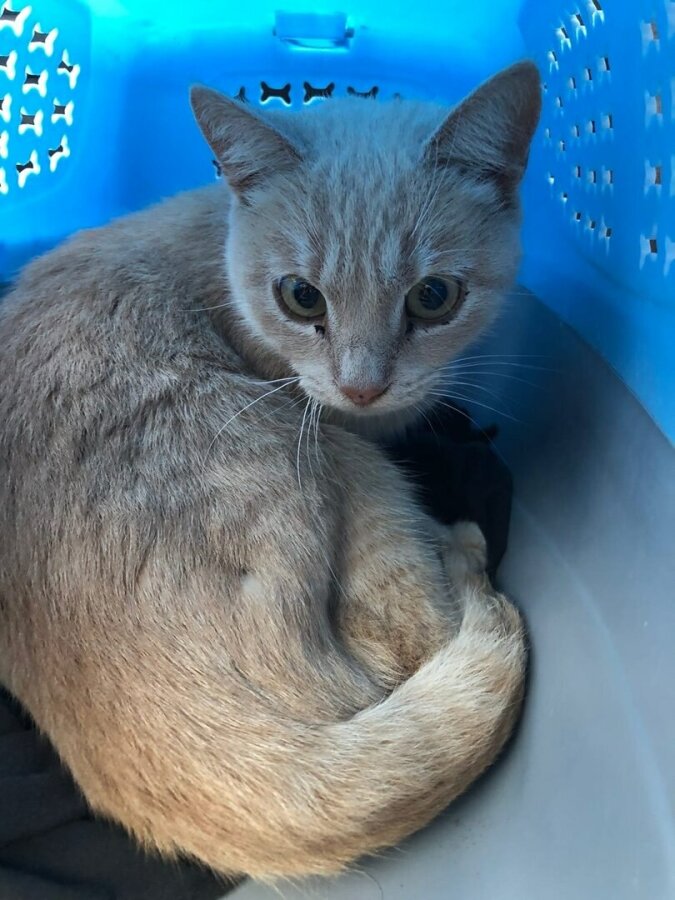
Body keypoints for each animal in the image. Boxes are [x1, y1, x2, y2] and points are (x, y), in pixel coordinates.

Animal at [0, 61, 540, 880]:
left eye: (434, 296)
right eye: (301, 296)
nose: (360, 387)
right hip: (334, 474)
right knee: (407, 640)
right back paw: (461, 553)